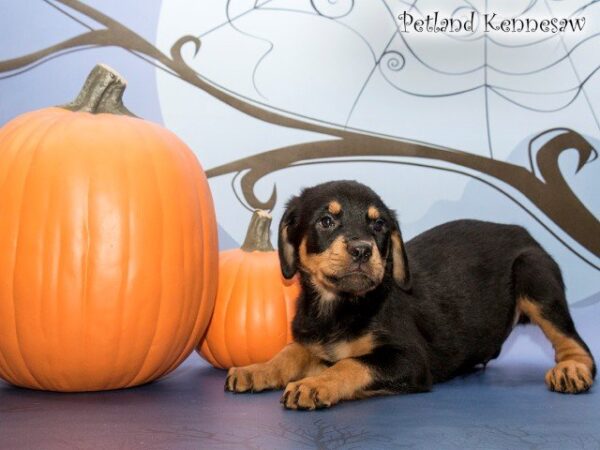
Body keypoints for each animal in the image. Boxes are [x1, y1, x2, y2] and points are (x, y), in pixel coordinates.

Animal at [225, 181, 596, 410]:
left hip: (534, 275)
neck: (340, 304)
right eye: (326, 221)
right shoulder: (313, 340)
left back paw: (572, 370)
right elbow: (291, 352)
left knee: (576, 344)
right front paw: (256, 370)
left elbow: (351, 363)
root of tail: (523, 232)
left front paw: (315, 385)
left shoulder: (409, 360)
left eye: (379, 225)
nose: (363, 250)